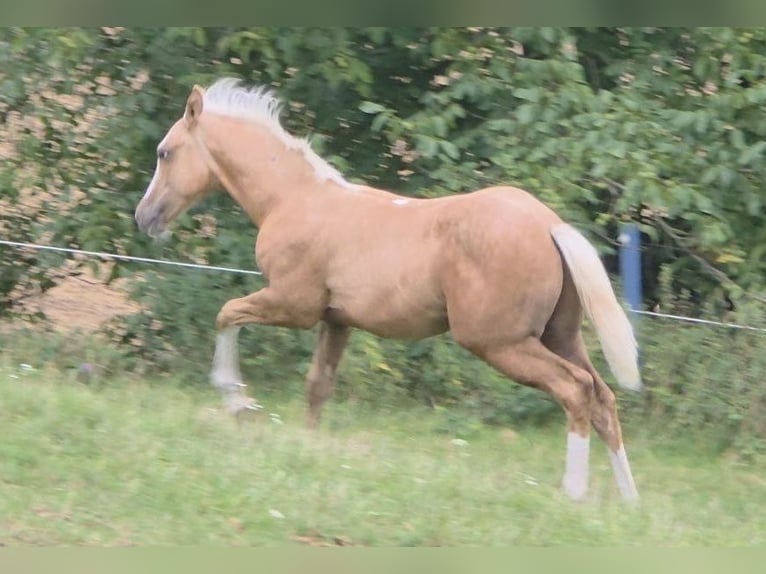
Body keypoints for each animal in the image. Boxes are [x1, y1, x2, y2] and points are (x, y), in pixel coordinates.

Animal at [134, 78, 641, 502]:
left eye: (165, 152)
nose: (144, 218)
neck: (294, 199)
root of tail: (550, 225)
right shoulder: (336, 320)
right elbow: (317, 386)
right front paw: (307, 447)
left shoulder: (293, 304)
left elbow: (227, 312)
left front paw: (238, 402)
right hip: (560, 336)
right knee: (603, 399)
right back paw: (629, 501)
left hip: (500, 343)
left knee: (574, 390)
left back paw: (573, 493)